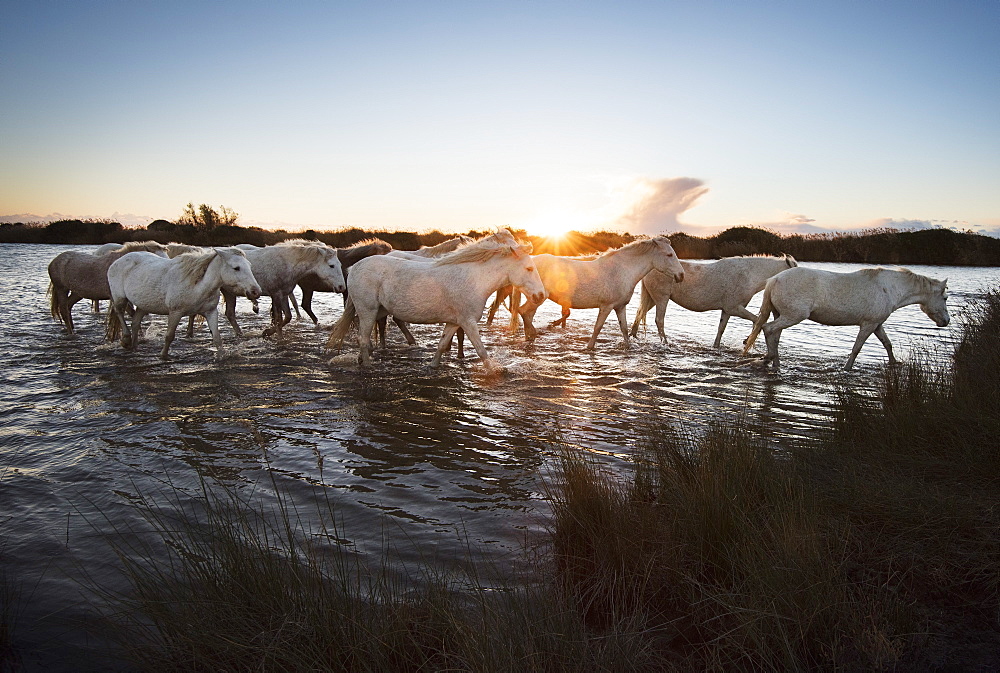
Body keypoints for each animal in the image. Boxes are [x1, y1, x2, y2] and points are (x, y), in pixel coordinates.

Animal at [106, 247, 262, 360]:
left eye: (249, 266)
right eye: (236, 268)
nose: (256, 291)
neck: (197, 285)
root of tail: (117, 262)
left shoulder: (211, 312)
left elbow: (217, 337)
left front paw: (222, 355)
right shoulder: (175, 312)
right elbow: (169, 336)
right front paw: (163, 356)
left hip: (143, 305)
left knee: (135, 321)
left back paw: (134, 346)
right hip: (120, 298)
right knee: (119, 312)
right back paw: (126, 340)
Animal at [326, 242, 548, 368]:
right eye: (529, 268)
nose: (540, 295)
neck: (473, 279)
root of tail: (354, 268)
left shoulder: (454, 322)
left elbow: (442, 346)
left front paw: (432, 366)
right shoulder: (468, 322)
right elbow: (481, 350)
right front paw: (495, 371)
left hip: (377, 311)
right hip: (368, 311)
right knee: (363, 339)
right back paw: (368, 366)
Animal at [512, 236, 684, 350]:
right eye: (669, 255)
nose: (681, 275)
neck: (622, 270)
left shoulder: (620, 307)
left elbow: (624, 329)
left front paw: (628, 347)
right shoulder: (606, 306)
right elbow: (597, 327)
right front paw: (589, 347)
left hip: (536, 298)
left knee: (526, 314)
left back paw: (530, 336)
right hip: (538, 298)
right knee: (523, 312)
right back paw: (533, 334)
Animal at [632, 253, 796, 346]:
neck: (748, 275)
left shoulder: (727, 310)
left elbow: (721, 329)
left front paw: (716, 346)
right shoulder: (734, 308)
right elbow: (757, 320)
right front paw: (746, 340)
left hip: (652, 299)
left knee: (639, 315)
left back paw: (633, 336)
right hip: (662, 299)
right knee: (659, 321)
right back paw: (665, 343)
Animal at [744, 266, 952, 370]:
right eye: (945, 298)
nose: (946, 321)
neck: (888, 288)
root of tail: (774, 279)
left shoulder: (877, 324)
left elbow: (887, 344)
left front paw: (894, 363)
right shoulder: (868, 325)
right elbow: (857, 348)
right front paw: (847, 368)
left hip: (782, 315)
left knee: (774, 335)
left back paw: (776, 364)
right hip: (792, 316)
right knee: (769, 329)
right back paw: (768, 359)